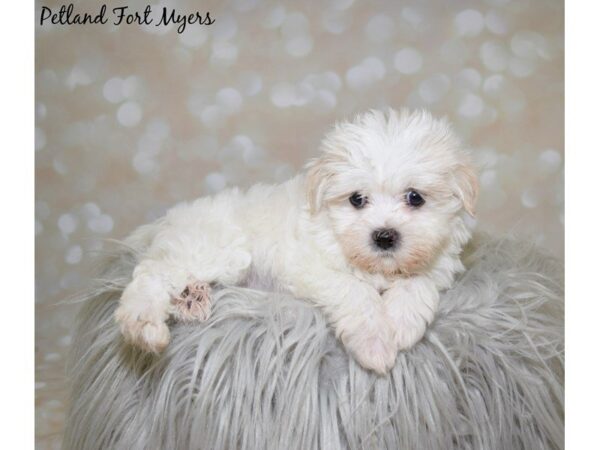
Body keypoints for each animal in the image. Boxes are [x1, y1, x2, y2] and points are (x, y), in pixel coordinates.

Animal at [113, 108, 478, 372]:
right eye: (356, 199)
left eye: (415, 197)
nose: (384, 236)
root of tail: (169, 220)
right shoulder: (310, 267)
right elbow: (355, 292)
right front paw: (375, 343)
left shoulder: (438, 263)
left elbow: (418, 282)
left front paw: (401, 324)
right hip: (213, 249)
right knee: (152, 275)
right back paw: (144, 326)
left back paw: (193, 298)